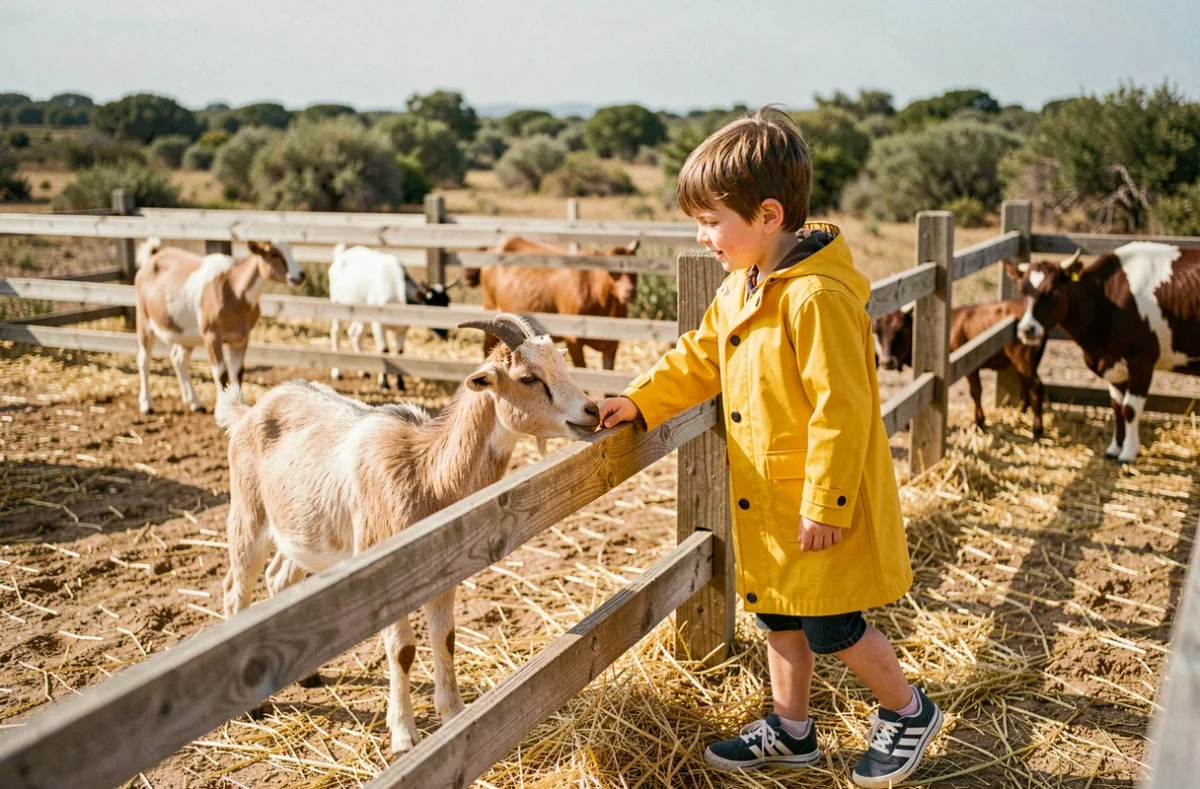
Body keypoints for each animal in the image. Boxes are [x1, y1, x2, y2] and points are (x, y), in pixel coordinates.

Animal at [134, 238, 304, 414]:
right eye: (273, 254)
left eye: (291, 251)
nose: (300, 275)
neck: (234, 289)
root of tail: (152, 258)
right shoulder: (211, 335)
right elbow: (221, 373)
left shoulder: (241, 338)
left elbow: (237, 372)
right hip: (144, 318)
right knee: (144, 359)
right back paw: (146, 404)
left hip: (186, 335)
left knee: (178, 358)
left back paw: (194, 403)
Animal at [215, 314, 601, 754]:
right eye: (528, 377)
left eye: (562, 362)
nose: (592, 410)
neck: (426, 468)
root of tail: (248, 411)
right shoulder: (387, 575)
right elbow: (402, 650)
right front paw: (403, 735)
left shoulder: (444, 570)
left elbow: (445, 637)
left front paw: (454, 715)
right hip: (248, 515)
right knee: (235, 588)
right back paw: (252, 707)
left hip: (301, 533)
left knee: (279, 576)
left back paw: (308, 677)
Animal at [328, 243, 459, 391]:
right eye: (431, 303)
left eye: (447, 301)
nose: (443, 333)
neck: (398, 291)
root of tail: (341, 255)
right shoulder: (378, 324)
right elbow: (384, 350)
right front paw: (384, 384)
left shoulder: (402, 329)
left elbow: (399, 352)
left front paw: (401, 384)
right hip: (338, 306)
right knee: (336, 332)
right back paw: (337, 372)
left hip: (361, 315)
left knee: (355, 333)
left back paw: (363, 371)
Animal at [465, 236, 640, 369]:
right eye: (613, 272)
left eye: (635, 271)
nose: (629, 292)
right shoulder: (573, 341)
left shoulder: (612, 346)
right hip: (490, 309)